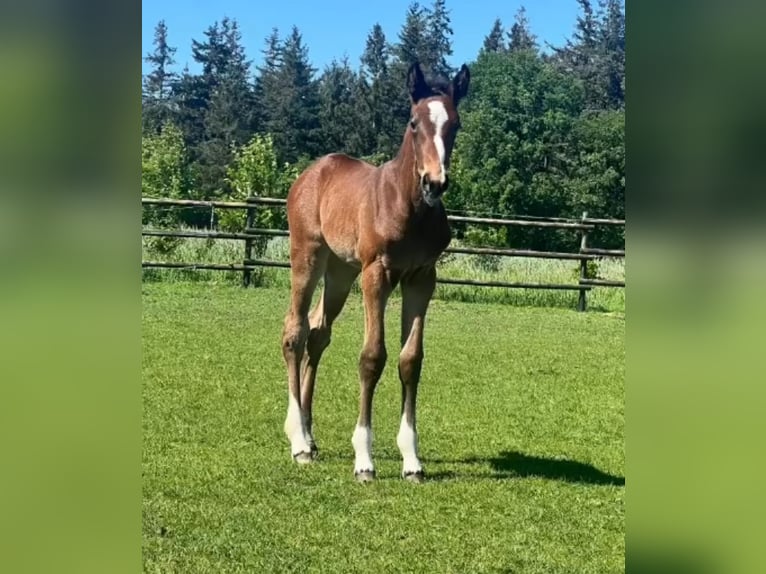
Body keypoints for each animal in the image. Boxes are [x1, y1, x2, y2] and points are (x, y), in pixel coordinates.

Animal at [280, 60, 464, 484]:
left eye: (456, 124)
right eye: (413, 122)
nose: (435, 182)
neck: (408, 206)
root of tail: (311, 173)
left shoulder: (421, 277)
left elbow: (410, 360)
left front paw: (412, 460)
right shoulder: (376, 274)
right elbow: (372, 357)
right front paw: (364, 459)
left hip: (340, 272)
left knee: (317, 333)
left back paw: (310, 435)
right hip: (308, 257)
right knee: (294, 331)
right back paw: (298, 441)